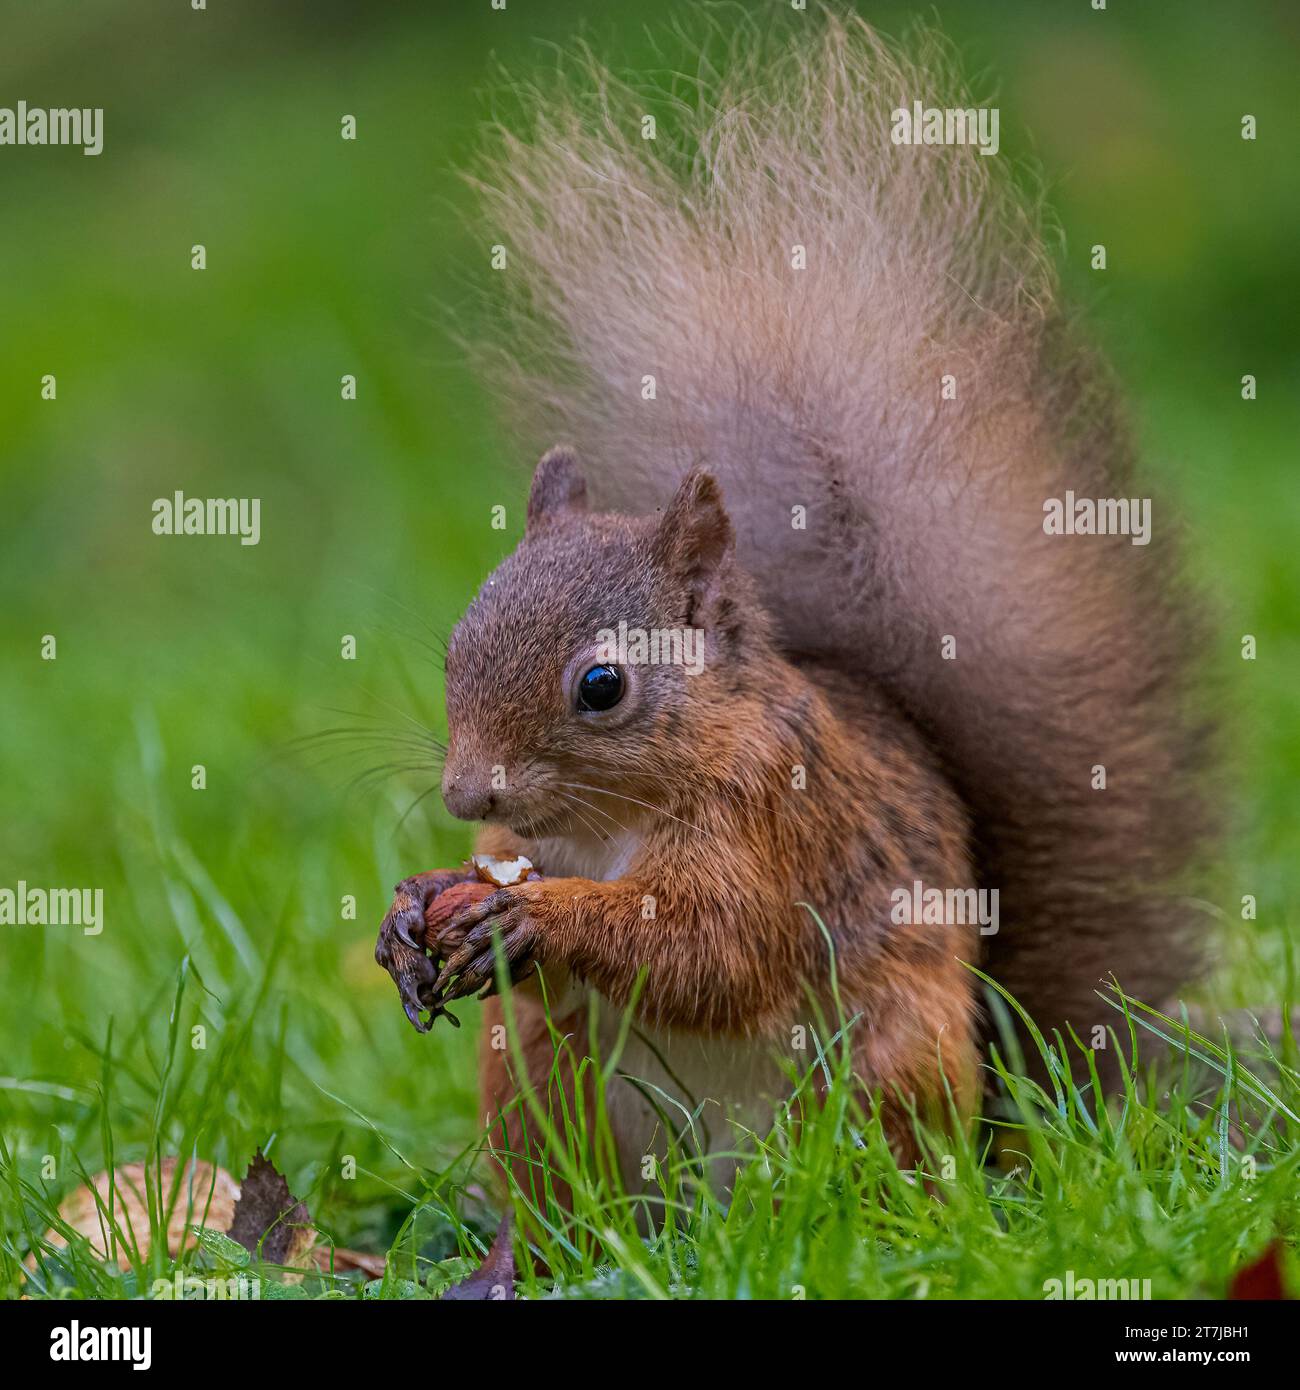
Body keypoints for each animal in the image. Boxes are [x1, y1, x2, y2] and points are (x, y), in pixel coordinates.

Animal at [374, 13, 1210, 1185]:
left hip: (884, 1070)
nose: (464, 794)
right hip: (538, 1085)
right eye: (456, 642)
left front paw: (541, 918)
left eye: (601, 686)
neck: (603, 823)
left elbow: (712, 950)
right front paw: (415, 903)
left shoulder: (777, 814)